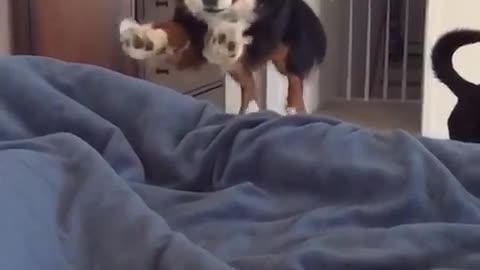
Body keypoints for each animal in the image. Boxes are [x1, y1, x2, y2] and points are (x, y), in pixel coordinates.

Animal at [122, 0, 328, 114]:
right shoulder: (189, 24)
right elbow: (172, 30)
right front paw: (145, 38)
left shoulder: (263, 33)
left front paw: (222, 38)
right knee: (249, 84)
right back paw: (250, 111)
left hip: (284, 54)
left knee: (295, 79)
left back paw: (294, 108)